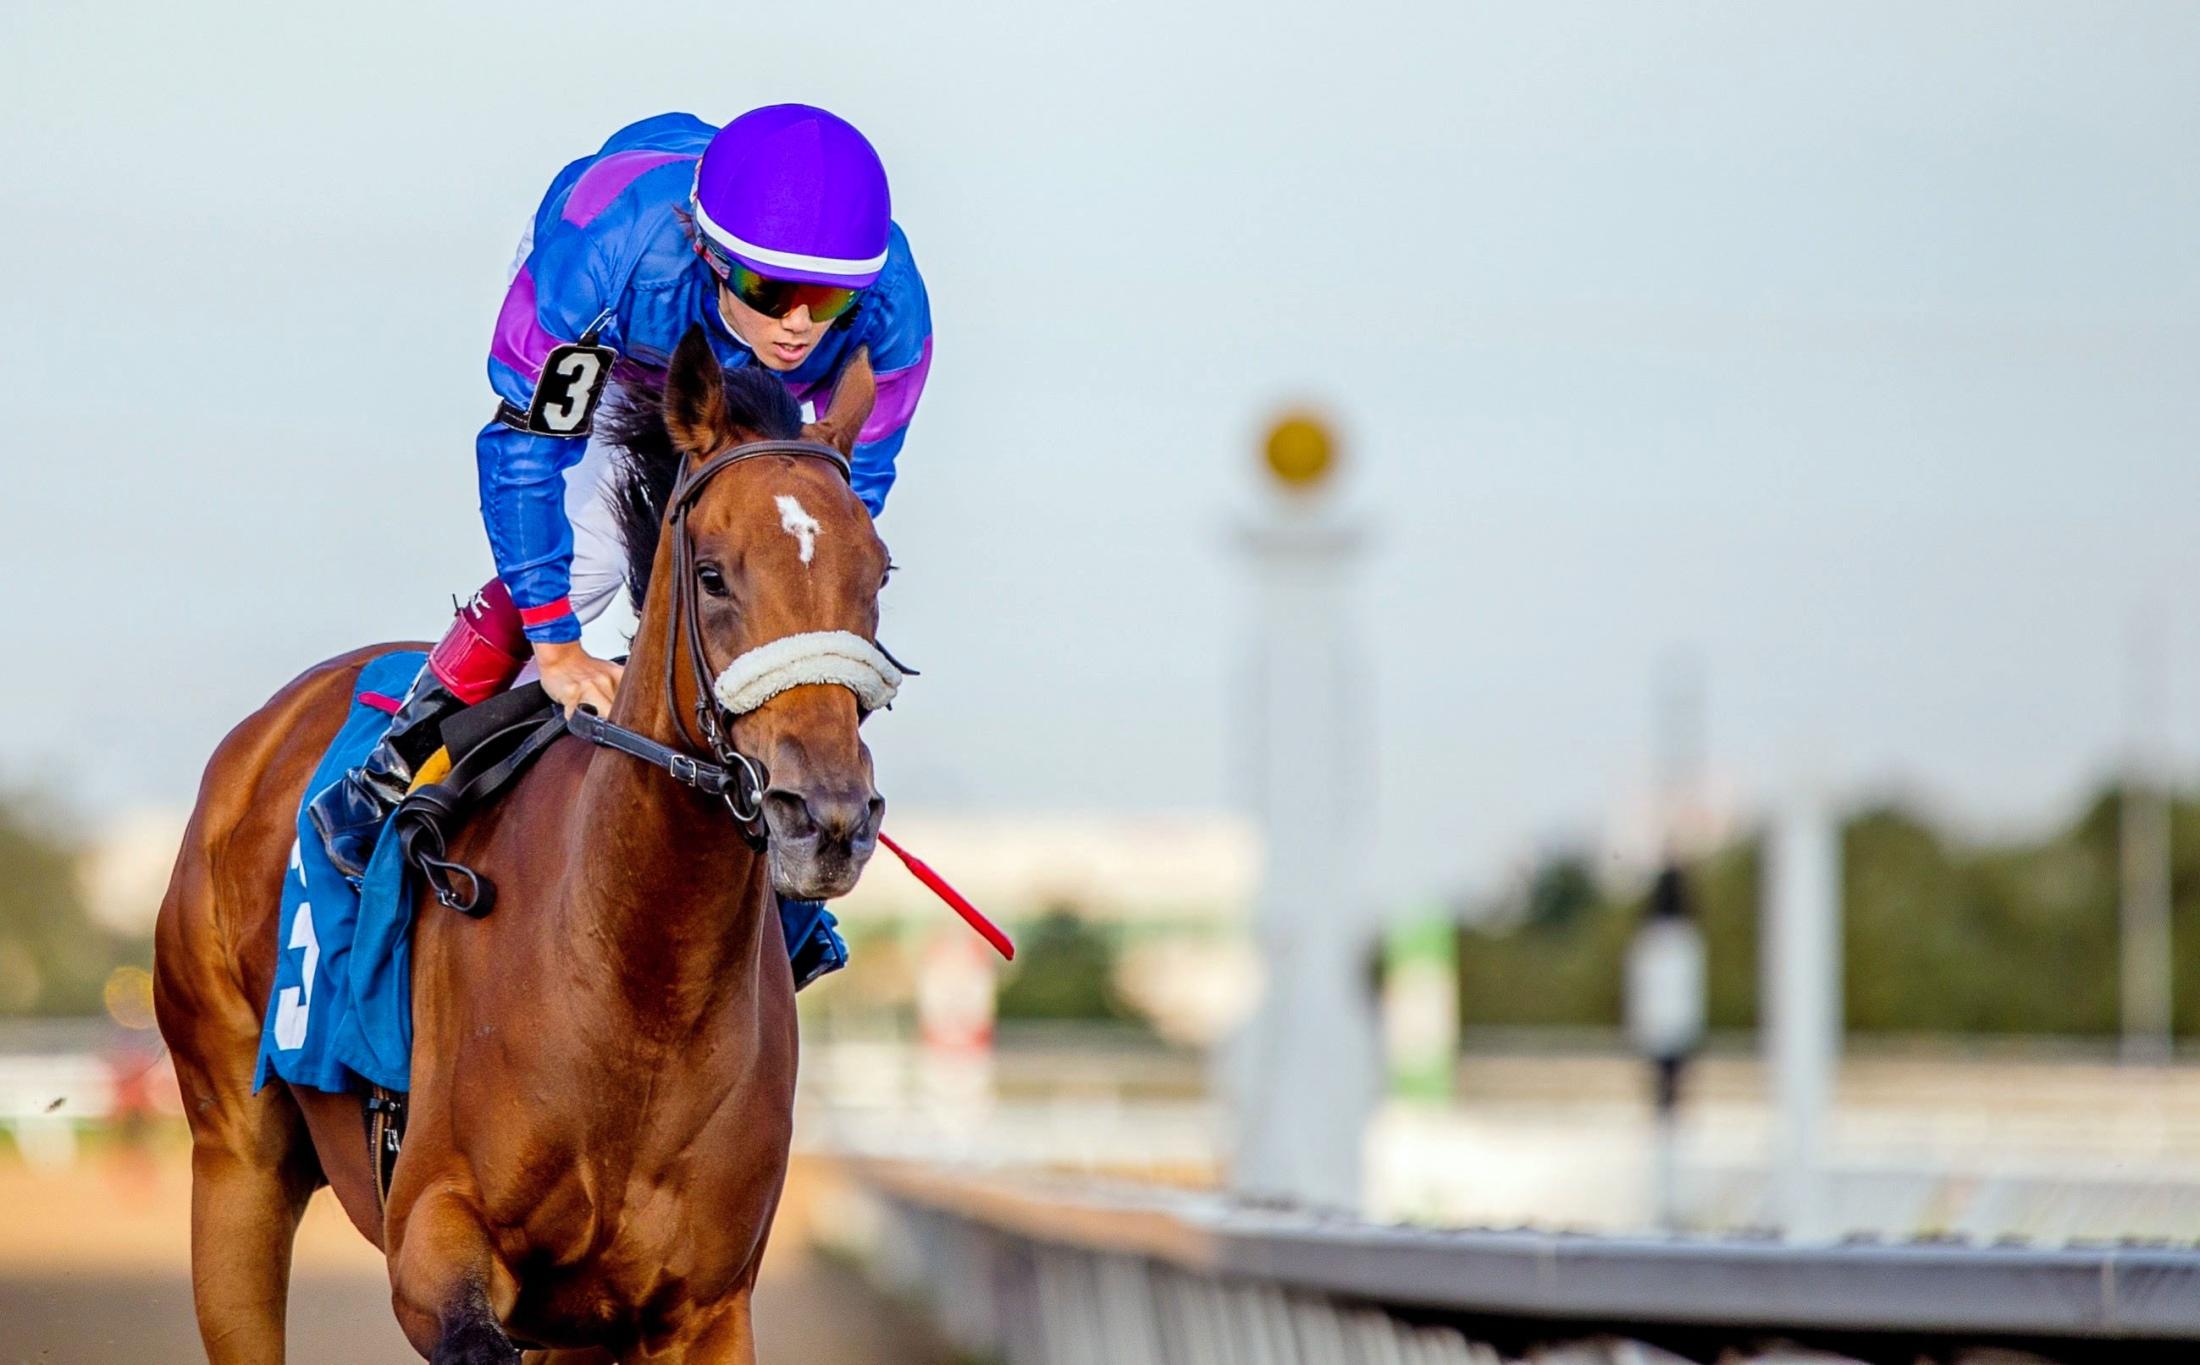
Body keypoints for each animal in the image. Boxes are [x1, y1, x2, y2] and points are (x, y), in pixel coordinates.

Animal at [152, 330, 893, 1365]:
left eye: (878, 573)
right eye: (712, 573)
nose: (826, 815)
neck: (637, 984)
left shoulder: (701, 1308)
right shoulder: (433, 1238)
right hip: (233, 1156)